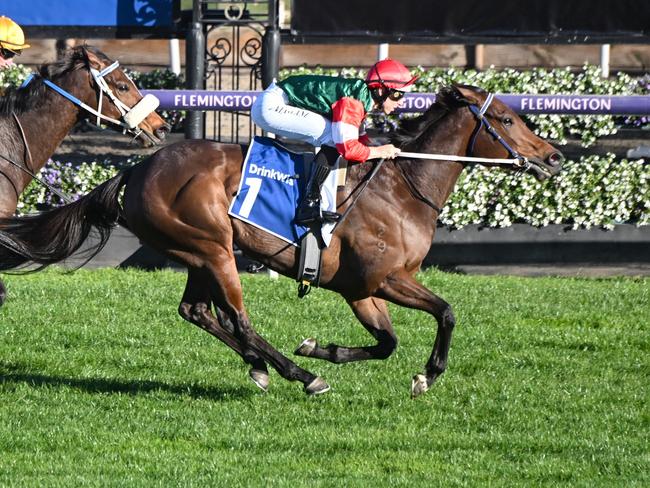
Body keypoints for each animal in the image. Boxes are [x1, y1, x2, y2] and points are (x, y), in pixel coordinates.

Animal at [0, 84, 560, 396]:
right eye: (507, 119)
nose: (552, 157)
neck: (404, 189)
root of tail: (138, 169)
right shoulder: (382, 280)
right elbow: (445, 313)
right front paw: (427, 376)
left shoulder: (361, 290)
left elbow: (387, 343)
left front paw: (321, 347)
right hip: (212, 247)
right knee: (239, 320)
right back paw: (298, 375)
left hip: (198, 252)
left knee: (197, 312)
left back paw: (264, 367)